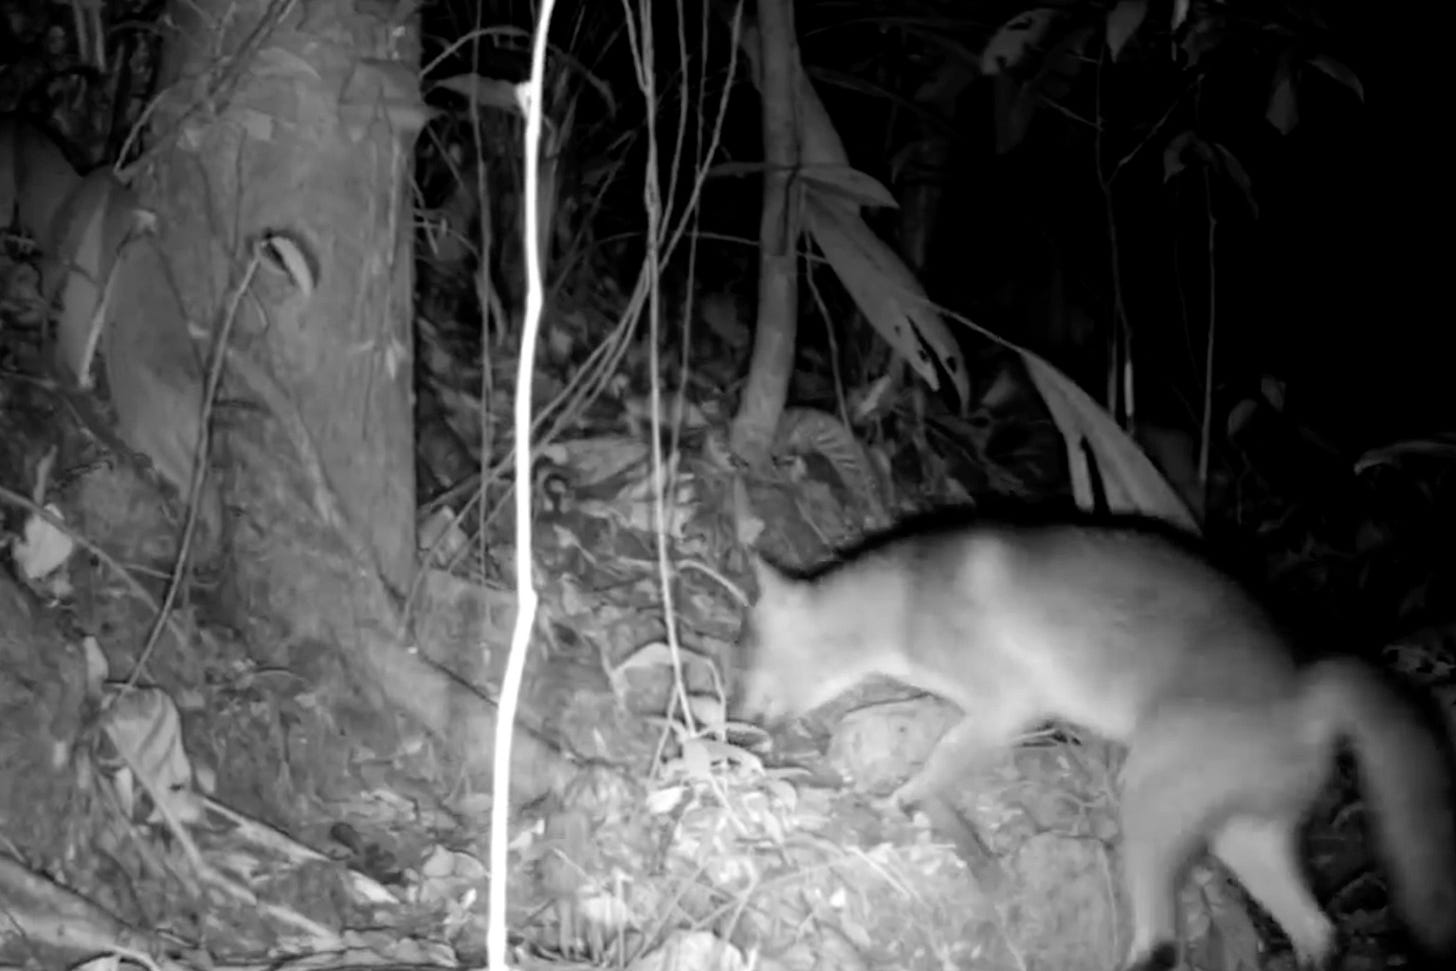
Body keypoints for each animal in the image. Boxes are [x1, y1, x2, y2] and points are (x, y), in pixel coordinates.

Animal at [734, 508, 1456, 970]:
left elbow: (943, 761)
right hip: (1245, 838)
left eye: (749, 652)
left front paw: (902, 800)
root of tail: (1311, 692)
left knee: (1162, 944)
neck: (905, 596)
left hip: (1153, 799)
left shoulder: (1013, 700)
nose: (734, 721)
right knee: (1320, 934)